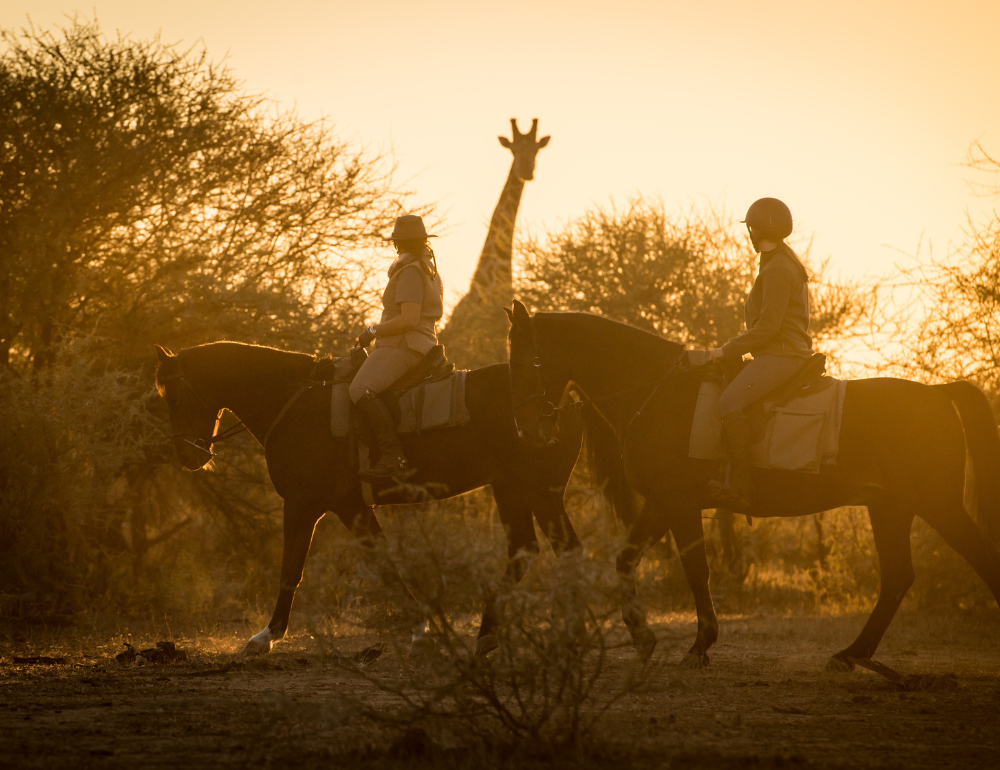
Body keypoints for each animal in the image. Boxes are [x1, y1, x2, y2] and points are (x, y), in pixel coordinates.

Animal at [153, 340, 632, 656]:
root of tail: (565, 398)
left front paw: (265, 636)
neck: (295, 403)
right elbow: (385, 564)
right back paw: (502, 636)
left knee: (552, 551)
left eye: (172, 396)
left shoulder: (307, 506)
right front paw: (419, 626)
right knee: (537, 551)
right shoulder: (353, 508)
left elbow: (293, 569)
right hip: (517, 490)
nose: (187, 456)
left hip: (532, 490)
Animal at [504, 300, 1000, 664]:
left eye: (527, 360)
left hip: (937, 504)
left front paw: (699, 645)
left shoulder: (679, 504)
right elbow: (626, 563)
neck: (657, 390)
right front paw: (646, 640)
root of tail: (938, 393)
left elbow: (696, 570)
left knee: (977, 559)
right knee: (897, 578)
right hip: (890, 509)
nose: (525, 430)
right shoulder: (660, 504)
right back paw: (851, 653)